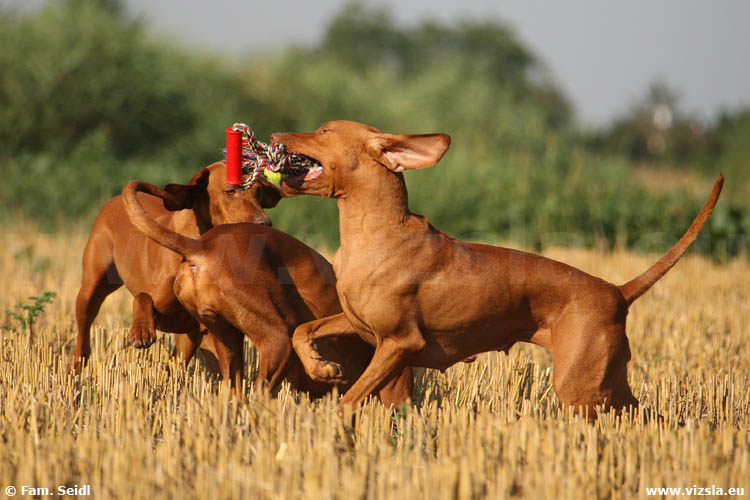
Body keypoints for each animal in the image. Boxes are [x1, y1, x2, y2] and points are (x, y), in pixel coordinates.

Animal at [72, 162, 282, 370]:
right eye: (230, 191)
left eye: (259, 193)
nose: (265, 223)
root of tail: (113, 200)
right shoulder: (163, 313)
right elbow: (143, 296)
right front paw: (141, 330)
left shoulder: (195, 328)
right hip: (92, 288)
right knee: (83, 330)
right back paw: (77, 363)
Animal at [124, 180, 418, 406]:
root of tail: (203, 247)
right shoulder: (394, 386)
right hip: (278, 338)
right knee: (260, 391)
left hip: (226, 340)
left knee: (237, 392)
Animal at [274, 119, 724, 416]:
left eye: (324, 131)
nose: (276, 136)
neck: (373, 232)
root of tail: (616, 291)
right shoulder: (358, 324)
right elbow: (303, 330)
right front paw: (321, 367)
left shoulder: (401, 343)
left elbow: (351, 399)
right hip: (607, 380)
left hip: (580, 387)